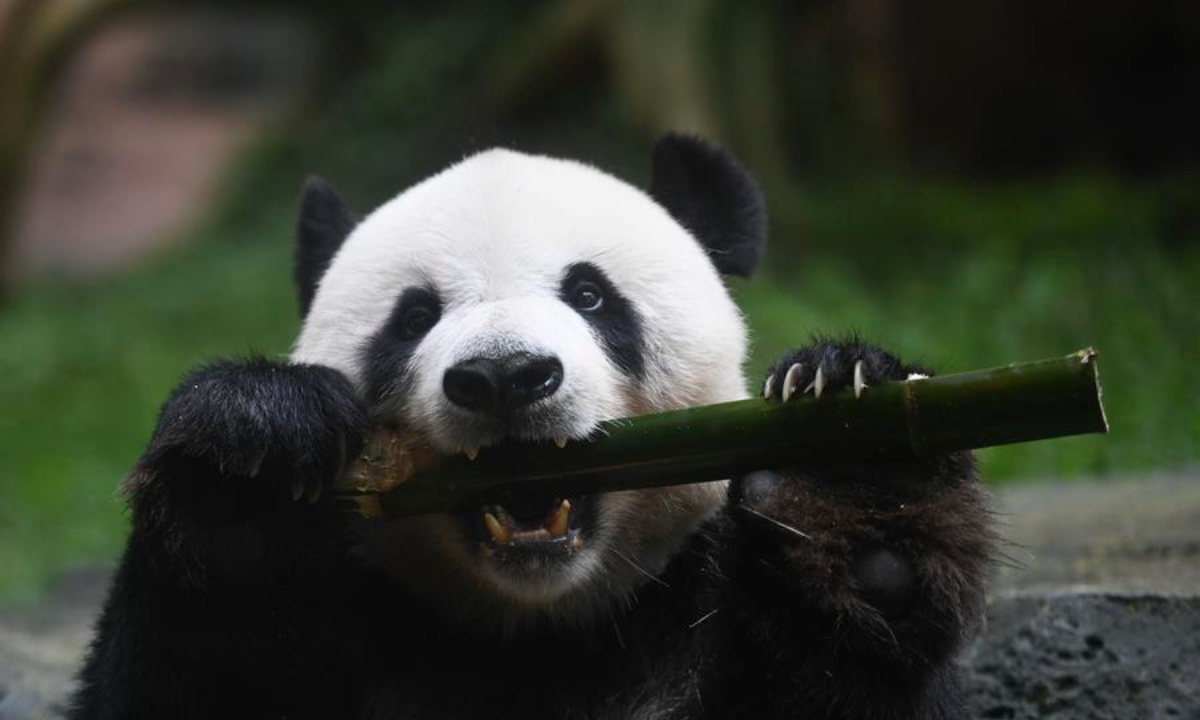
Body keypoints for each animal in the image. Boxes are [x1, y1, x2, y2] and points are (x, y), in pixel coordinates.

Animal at [70, 134, 993, 720]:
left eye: (590, 295)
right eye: (412, 317)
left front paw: (848, 489)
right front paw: (250, 470)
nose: (504, 376)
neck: (538, 631)